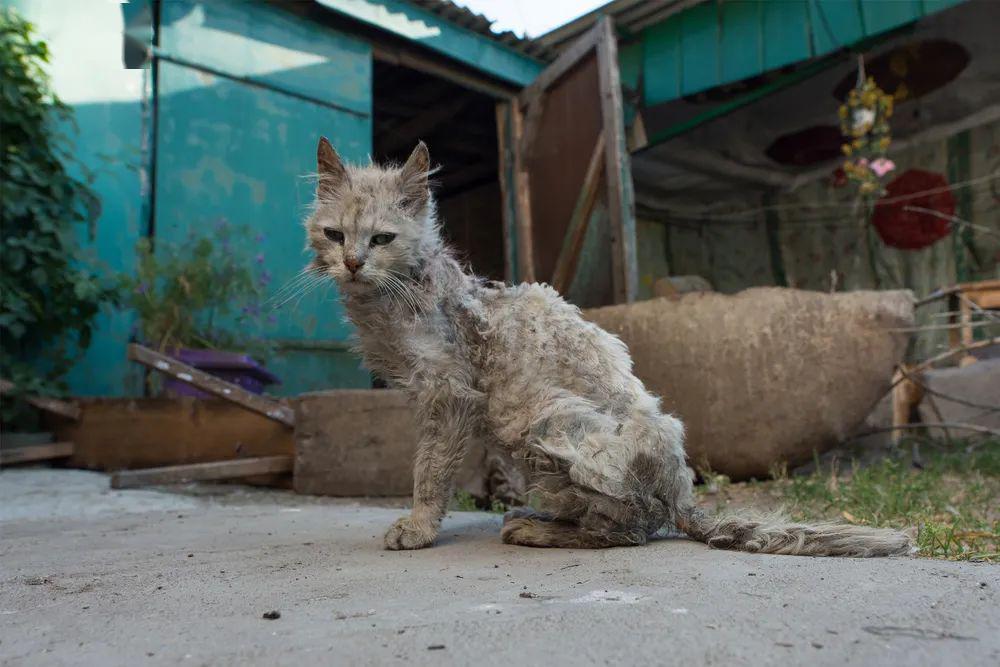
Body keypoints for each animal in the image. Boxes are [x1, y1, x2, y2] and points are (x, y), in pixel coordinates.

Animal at [304, 137, 916, 560]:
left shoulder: (451, 395)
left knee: (629, 529)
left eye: (382, 239)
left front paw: (418, 527)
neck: (400, 294)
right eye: (335, 236)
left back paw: (536, 529)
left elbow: (429, 471)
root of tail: (682, 495)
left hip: (544, 421)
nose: (352, 263)